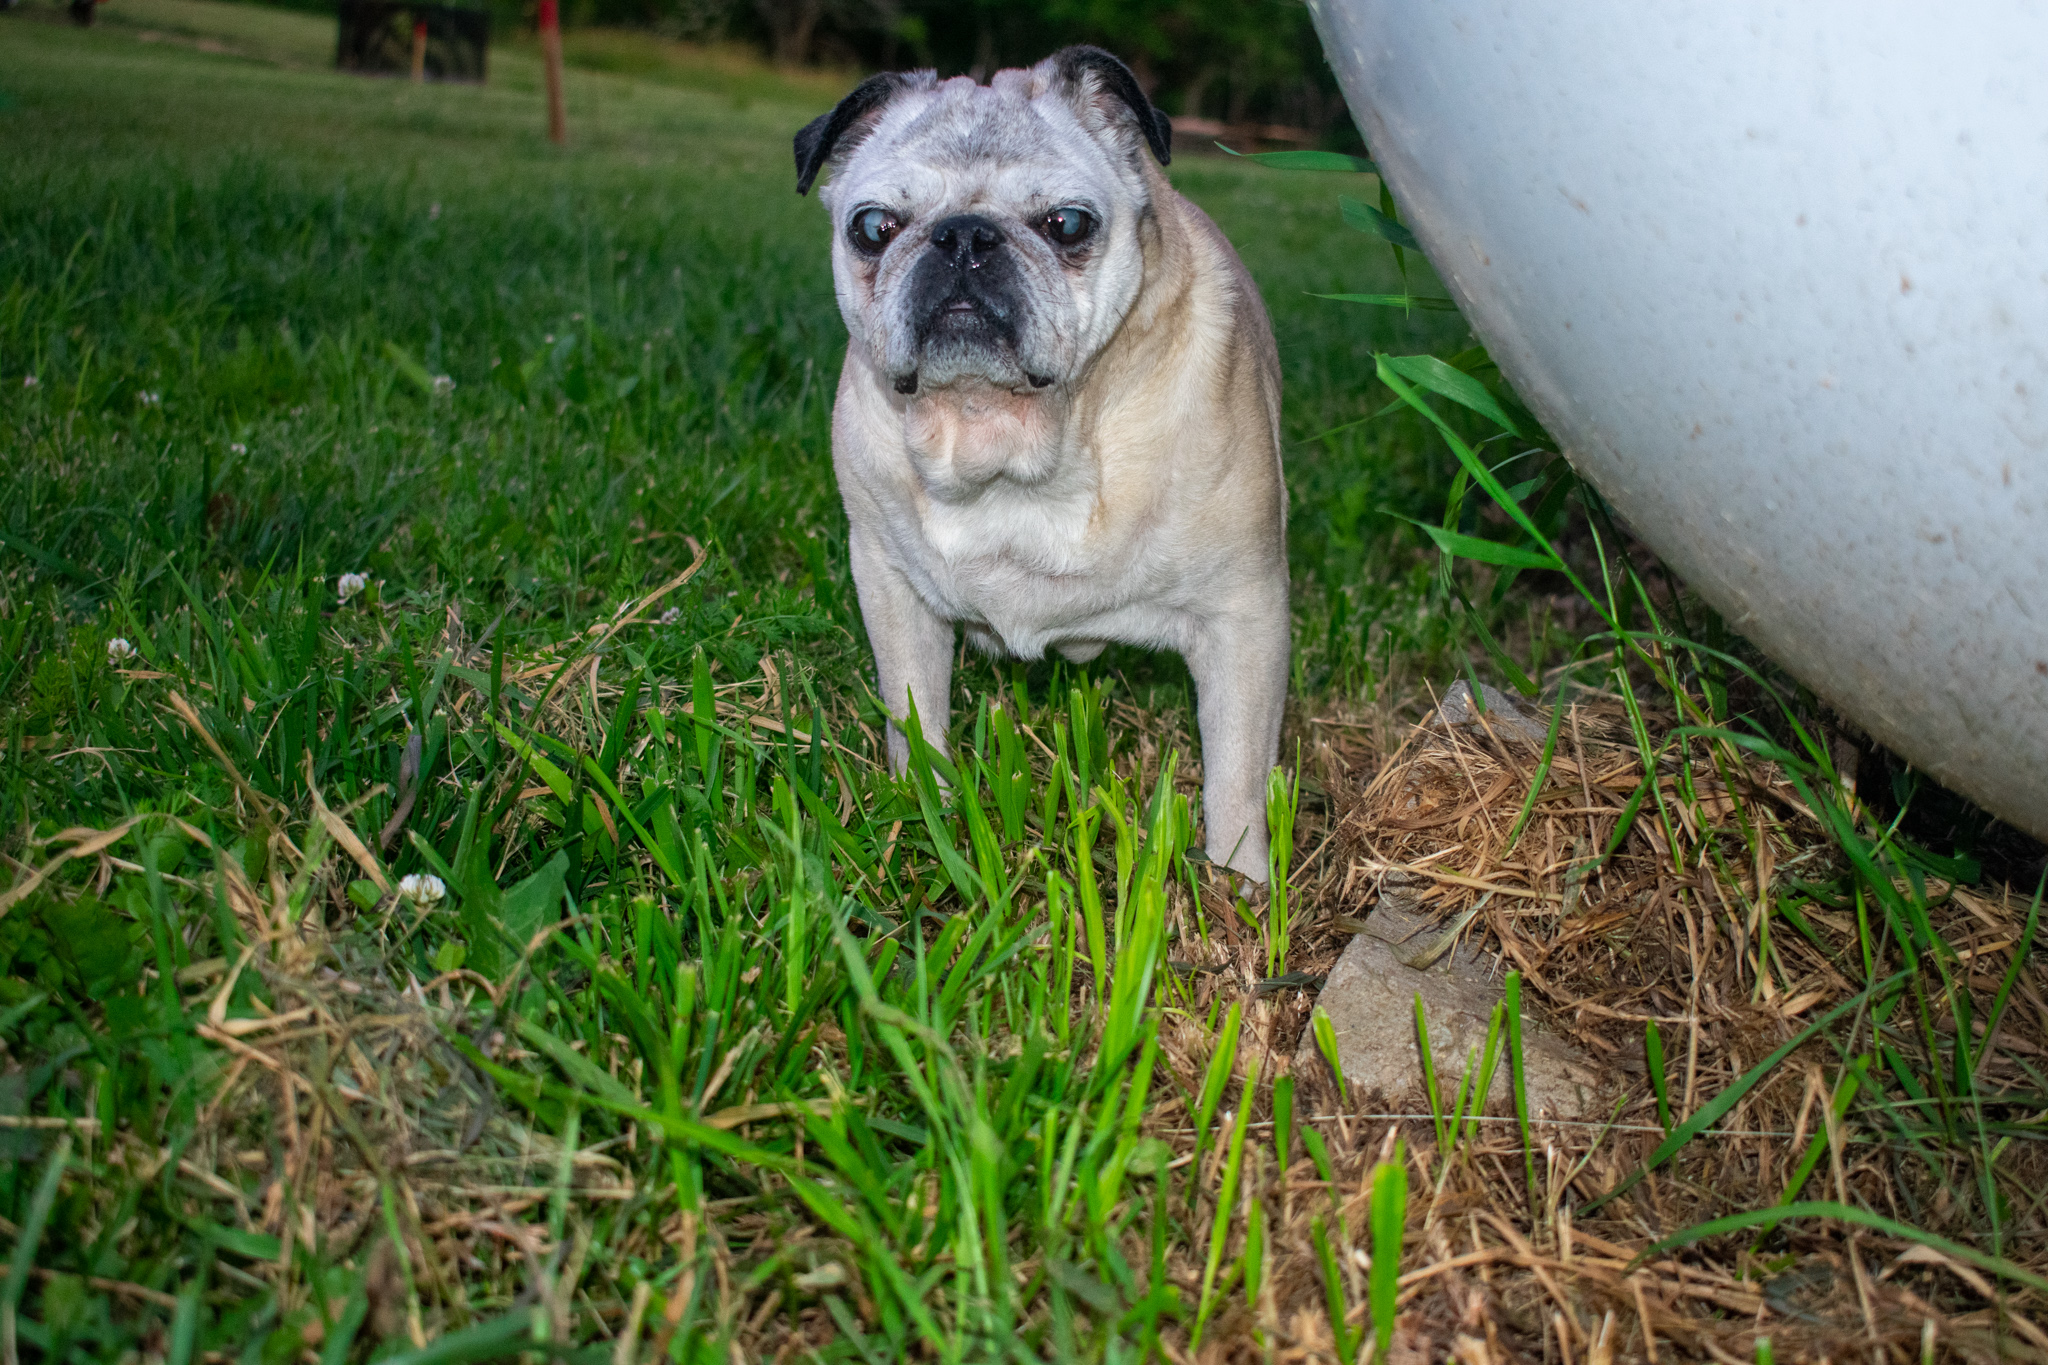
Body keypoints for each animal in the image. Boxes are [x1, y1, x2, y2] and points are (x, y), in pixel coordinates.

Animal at [794, 48, 1286, 879]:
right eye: (872, 228)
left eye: (1067, 224)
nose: (963, 236)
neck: (1000, 434)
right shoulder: (891, 589)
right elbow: (914, 712)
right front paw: (922, 811)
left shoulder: (1243, 618)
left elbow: (1237, 774)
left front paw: (1236, 881)